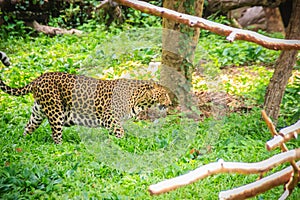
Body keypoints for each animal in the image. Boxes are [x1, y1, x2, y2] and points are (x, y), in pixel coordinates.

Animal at [0, 52, 173, 144]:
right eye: (164, 94)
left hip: (38, 111)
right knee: (56, 135)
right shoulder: (109, 116)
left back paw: (22, 142)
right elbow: (120, 132)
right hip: (55, 111)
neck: (139, 100)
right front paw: (122, 144)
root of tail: (38, 79)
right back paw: (62, 148)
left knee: (28, 127)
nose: (170, 103)